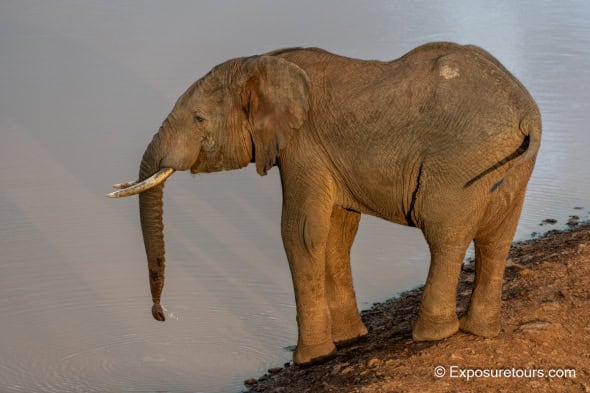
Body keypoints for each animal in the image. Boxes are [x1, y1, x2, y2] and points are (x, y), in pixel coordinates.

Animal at [108, 42, 544, 364]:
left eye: (198, 119)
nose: (159, 315)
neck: (264, 61)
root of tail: (527, 113)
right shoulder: (326, 156)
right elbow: (337, 231)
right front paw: (350, 339)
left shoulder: (304, 146)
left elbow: (301, 232)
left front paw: (310, 358)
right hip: (505, 167)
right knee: (496, 239)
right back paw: (479, 330)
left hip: (460, 162)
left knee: (445, 236)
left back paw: (431, 336)